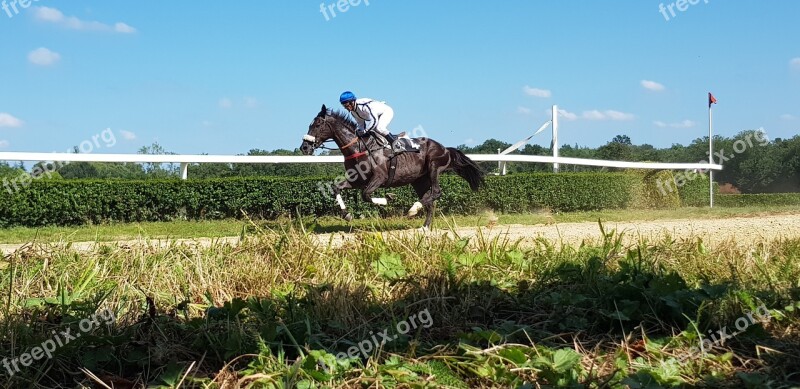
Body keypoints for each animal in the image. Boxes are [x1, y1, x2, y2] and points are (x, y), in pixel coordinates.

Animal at [300, 104, 484, 229]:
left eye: (317, 124)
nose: (304, 147)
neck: (359, 148)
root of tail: (446, 148)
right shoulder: (358, 180)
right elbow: (337, 187)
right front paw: (347, 214)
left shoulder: (379, 178)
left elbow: (366, 195)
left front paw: (388, 198)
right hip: (418, 180)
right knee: (430, 200)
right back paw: (424, 227)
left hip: (433, 167)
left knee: (436, 192)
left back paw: (413, 210)